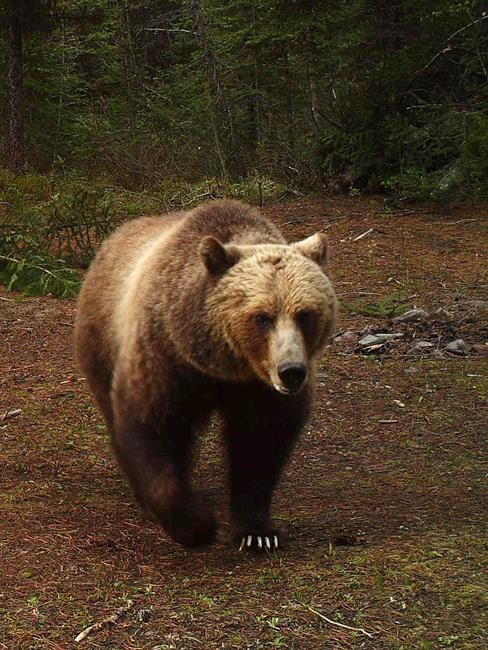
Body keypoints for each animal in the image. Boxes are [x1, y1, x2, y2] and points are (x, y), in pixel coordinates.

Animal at [74, 199, 337, 552]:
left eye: (305, 314)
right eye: (262, 317)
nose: (292, 372)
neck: (222, 364)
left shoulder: (258, 389)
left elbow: (261, 442)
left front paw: (257, 532)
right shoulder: (166, 356)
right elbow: (149, 425)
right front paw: (197, 525)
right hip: (102, 340)